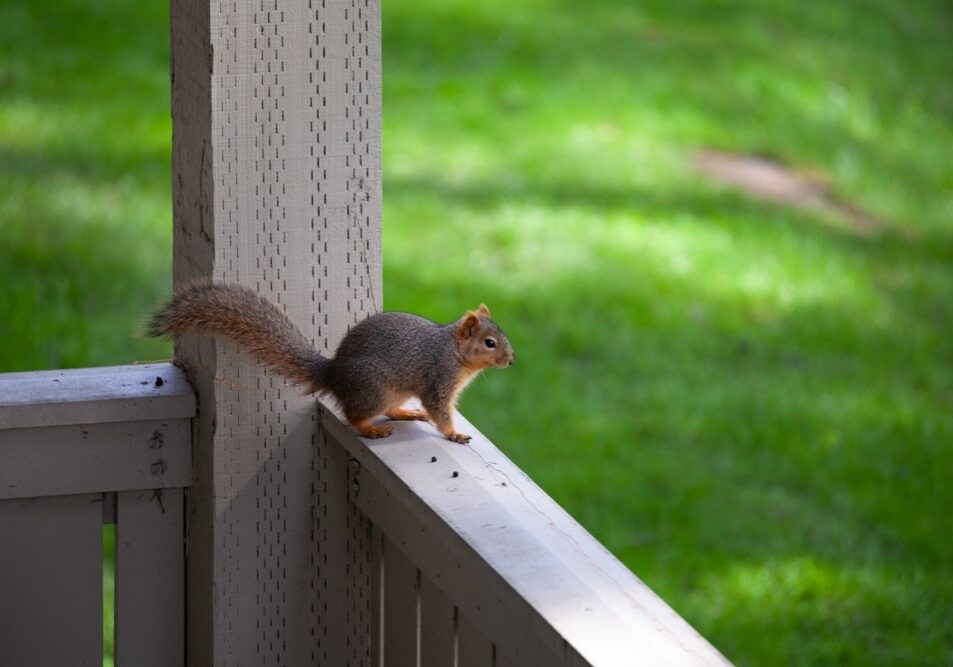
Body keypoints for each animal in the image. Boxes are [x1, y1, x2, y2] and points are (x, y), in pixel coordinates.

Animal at [147, 282, 515, 443]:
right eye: (489, 342)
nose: (511, 360)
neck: (453, 352)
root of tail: (334, 375)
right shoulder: (438, 379)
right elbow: (440, 411)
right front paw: (454, 434)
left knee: (390, 408)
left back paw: (406, 412)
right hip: (373, 388)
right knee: (352, 414)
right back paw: (369, 428)